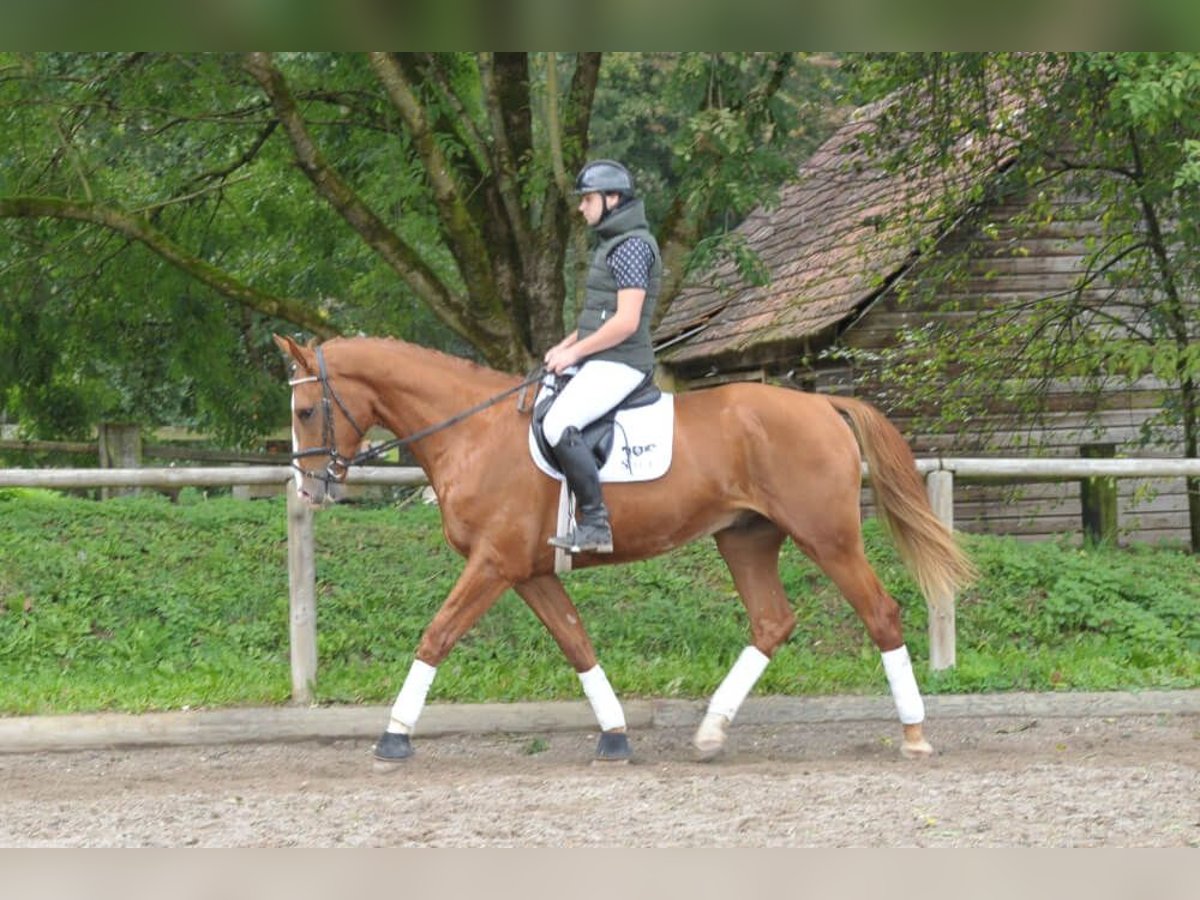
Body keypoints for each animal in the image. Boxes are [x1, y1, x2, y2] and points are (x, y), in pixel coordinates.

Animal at [276, 336, 979, 763]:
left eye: (307, 411)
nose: (310, 487)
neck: (472, 432)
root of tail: (822, 404)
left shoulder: (494, 563)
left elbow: (437, 635)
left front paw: (393, 736)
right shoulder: (526, 570)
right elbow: (576, 641)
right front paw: (614, 735)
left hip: (827, 536)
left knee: (880, 613)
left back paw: (914, 734)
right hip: (745, 537)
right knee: (772, 622)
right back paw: (710, 730)